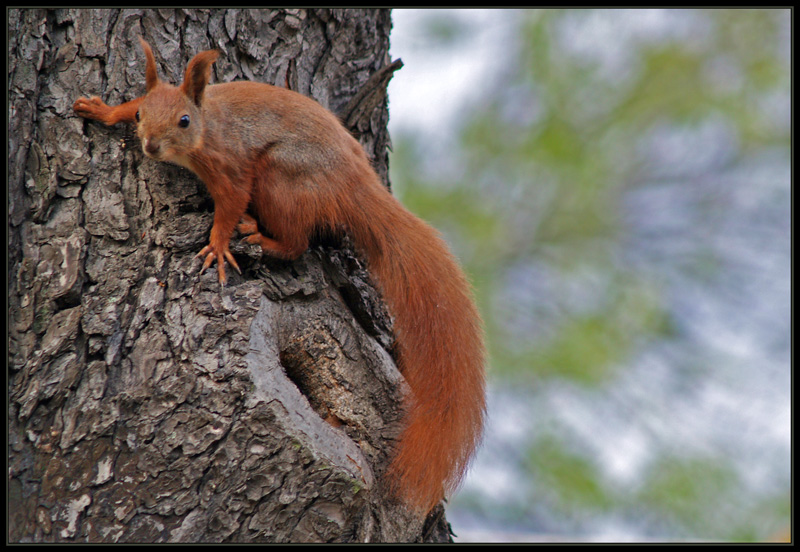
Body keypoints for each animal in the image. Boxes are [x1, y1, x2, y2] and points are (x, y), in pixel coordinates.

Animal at [75, 37, 484, 512]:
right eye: (142, 115)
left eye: (184, 120)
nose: (151, 147)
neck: (207, 126)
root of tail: (356, 185)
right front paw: (101, 110)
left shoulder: (230, 167)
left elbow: (230, 204)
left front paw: (218, 246)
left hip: (280, 178)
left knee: (297, 243)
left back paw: (260, 235)